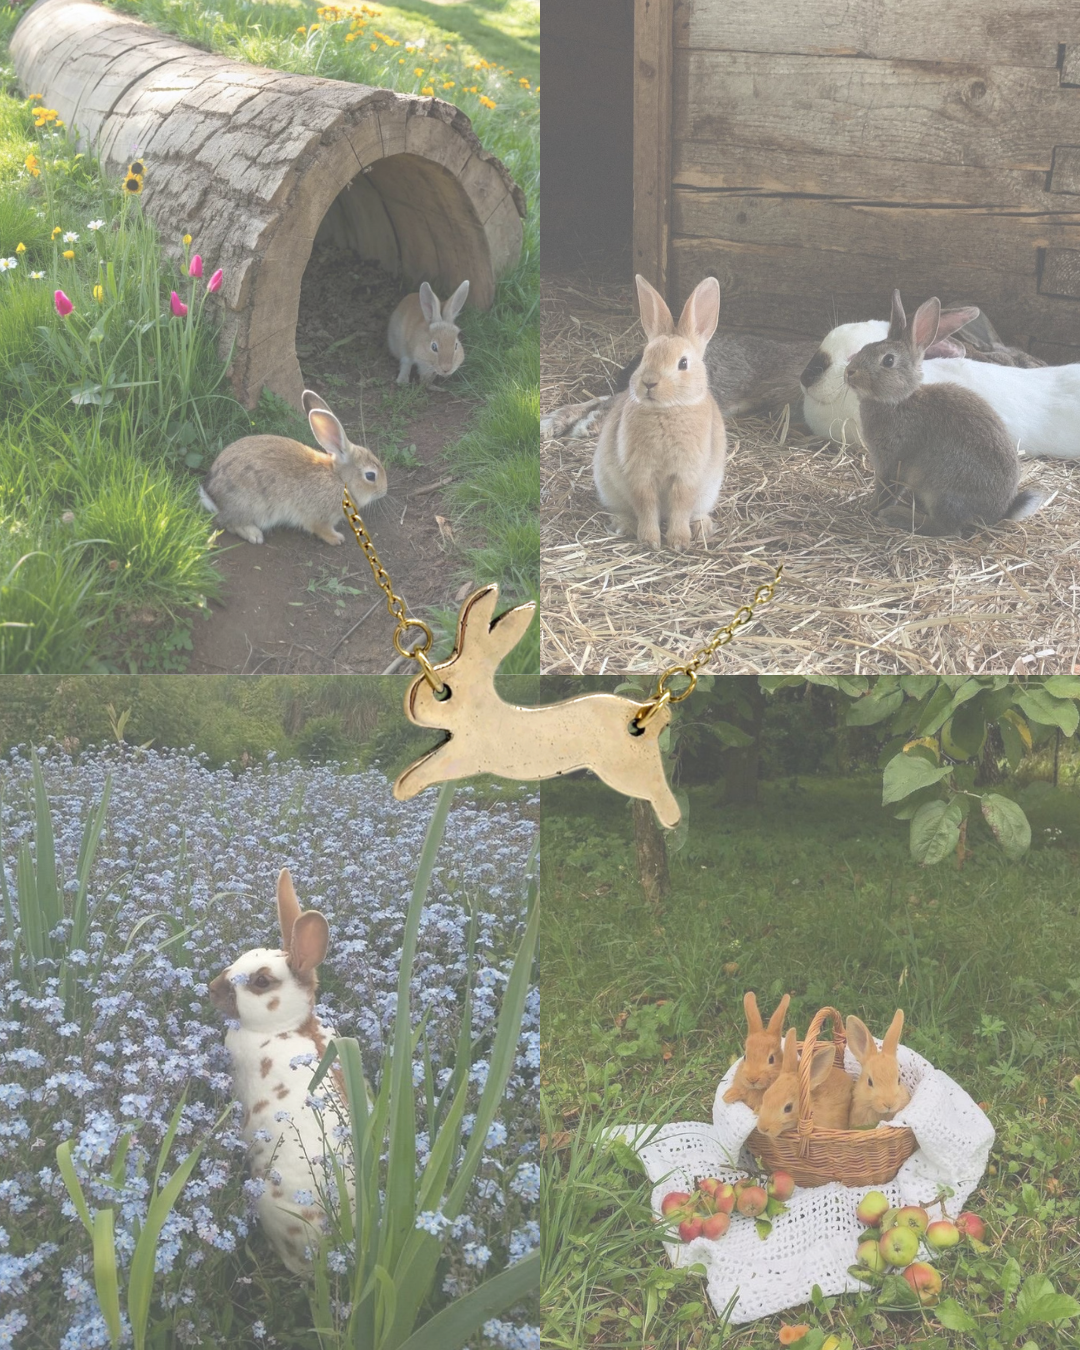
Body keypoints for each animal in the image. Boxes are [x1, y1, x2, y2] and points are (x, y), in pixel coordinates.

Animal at [199, 391, 386, 545]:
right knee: (229, 523)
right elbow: (321, 529)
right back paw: (254, 534)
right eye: (370, 476)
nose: (384, 491)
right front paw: (337, 538)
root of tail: (212, 495)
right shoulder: (319, 518)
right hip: (250, 505)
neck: (340, 479)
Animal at [392, 584, 682, 828]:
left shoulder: (466, 755)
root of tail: (647, 718)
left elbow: (429, 767)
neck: (478, 711)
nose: (414, 708)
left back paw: (673, 819)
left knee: (657, 789)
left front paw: (404, 788)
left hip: (626, 770)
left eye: (444, 694)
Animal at [592, 274, 727, 551]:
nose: (649, 382)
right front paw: (650, 541)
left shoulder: (687, 473)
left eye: (683, 363)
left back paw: (701, 527)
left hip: (709, 491)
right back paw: (624, 525)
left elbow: (681, 504)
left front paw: (678, 542)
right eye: (645, 356)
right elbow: (646, 503)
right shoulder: (640, 471)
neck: (666, 411)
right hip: (608, 486)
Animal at [843, 291, 1050, 536]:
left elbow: (886, 491)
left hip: (944, 490)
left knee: (947, 528)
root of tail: (998, 513)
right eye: (865, 348)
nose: (849, 372)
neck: (898, 401)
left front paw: (870, 508)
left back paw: (898, 516)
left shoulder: (893, 461)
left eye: (888, 360)